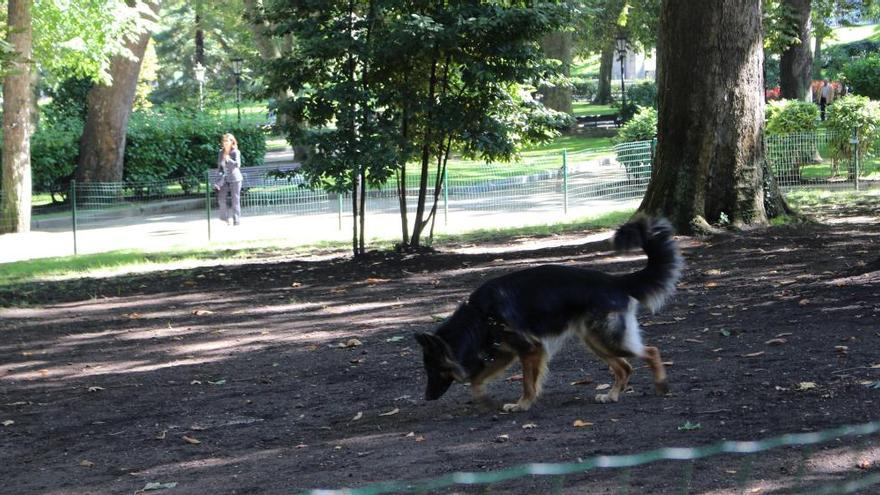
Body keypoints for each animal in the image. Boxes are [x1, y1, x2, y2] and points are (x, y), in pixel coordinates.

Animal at [416, 215, 684, 412]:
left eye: (432, 369)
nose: (427, 397)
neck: (479, 316)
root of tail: (615, 280)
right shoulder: (506, 353)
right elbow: (476, 379)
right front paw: (485, 400)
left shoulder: (530, 350)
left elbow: (527, 382)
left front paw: (522, 404)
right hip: (595, 341)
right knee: (625, 367)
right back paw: (612, 395)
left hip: (607, 339)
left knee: (651, 351)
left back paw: (661, 384)